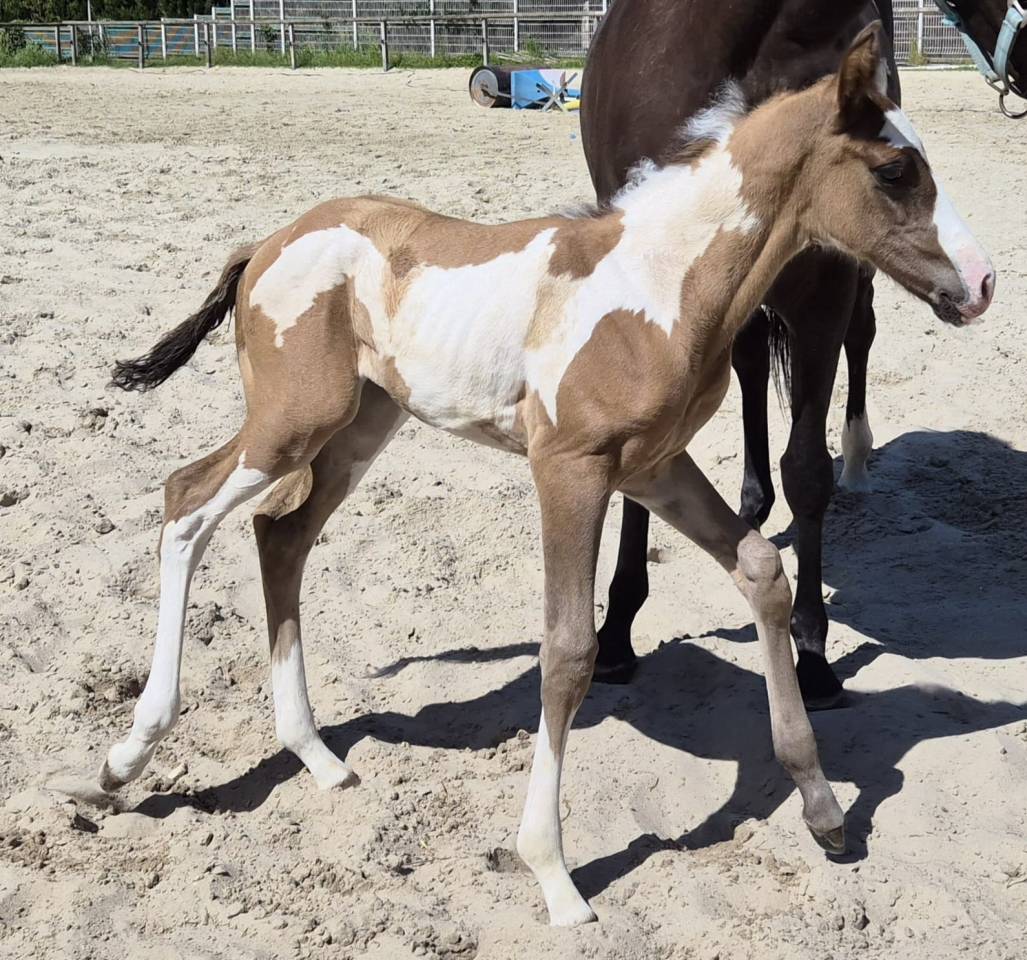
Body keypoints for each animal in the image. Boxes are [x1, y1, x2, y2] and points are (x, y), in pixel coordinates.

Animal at [581, 0, 904, 709]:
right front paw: (616, 631)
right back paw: (752, 505)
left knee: (860, 335)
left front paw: (812, 653)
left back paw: (855, 457)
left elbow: (807, 469)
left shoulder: (825, 284)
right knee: (753, 360)